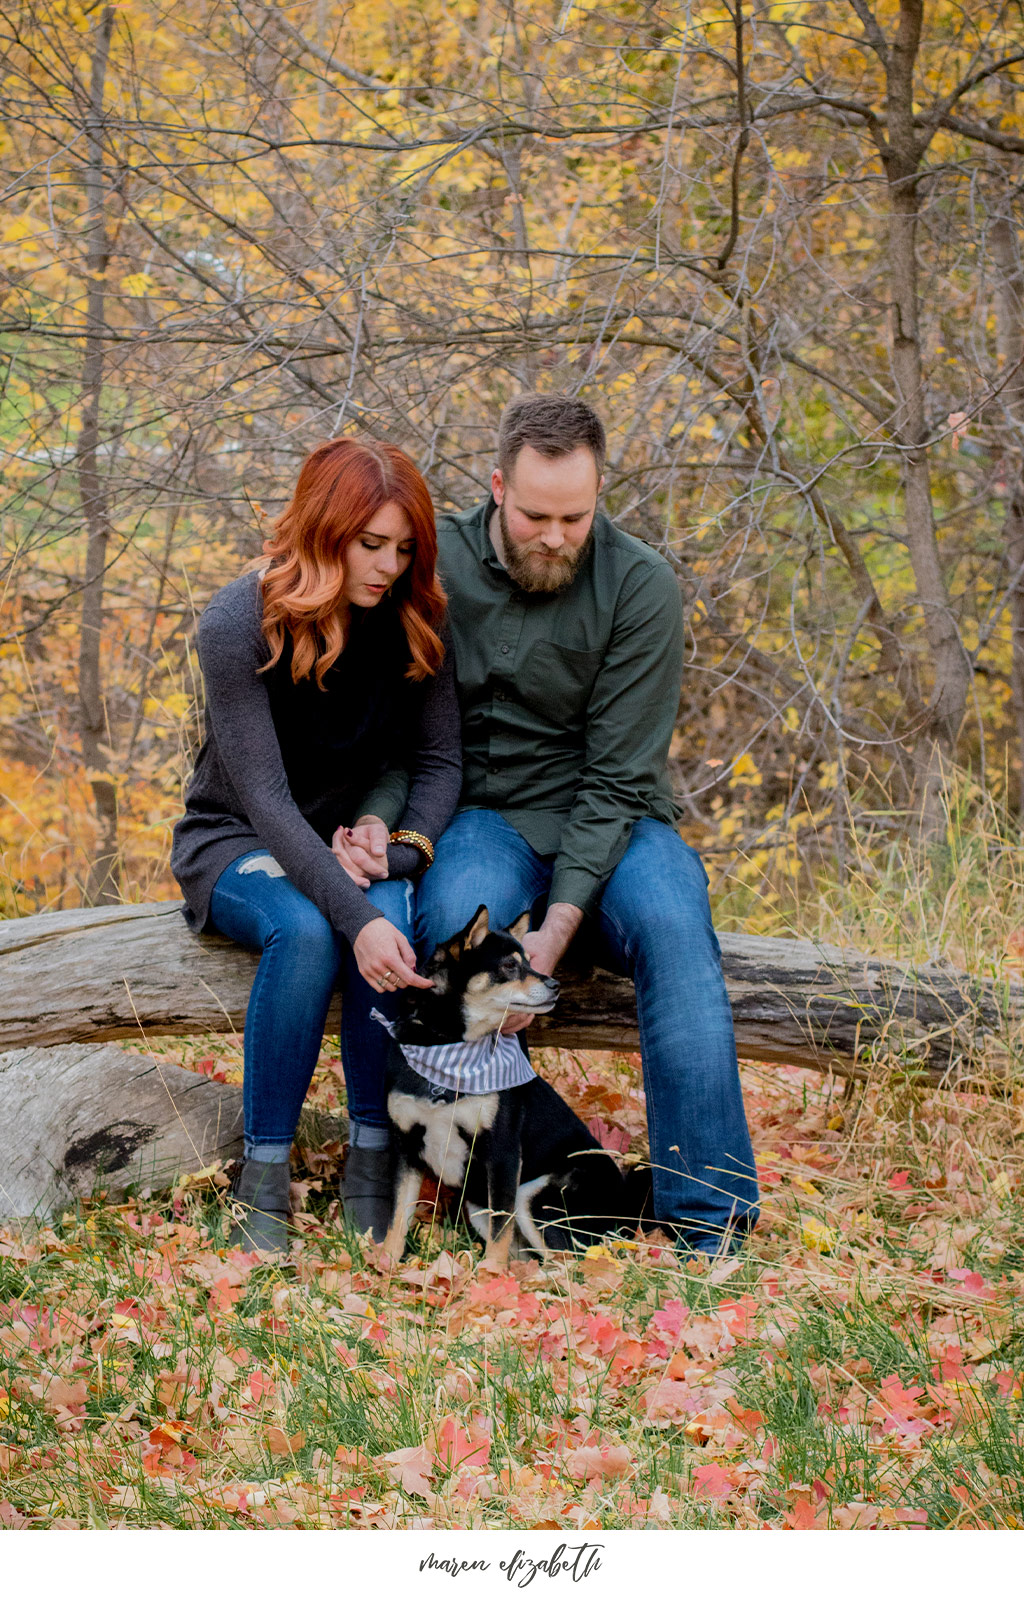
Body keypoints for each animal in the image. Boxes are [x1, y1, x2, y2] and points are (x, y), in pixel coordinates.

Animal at [376, 908, 646, 1267]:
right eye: (508, 965)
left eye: (530, 961)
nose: (555, 984)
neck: (446, 1047)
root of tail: (627, 1214)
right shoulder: (406, 1146)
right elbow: (397, 1217)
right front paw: (385, 1266)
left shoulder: (502, 1152)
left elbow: (500, 1229)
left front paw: (489, 1274)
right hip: (481, 1205)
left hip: (536, 1196)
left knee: (572, 1262)